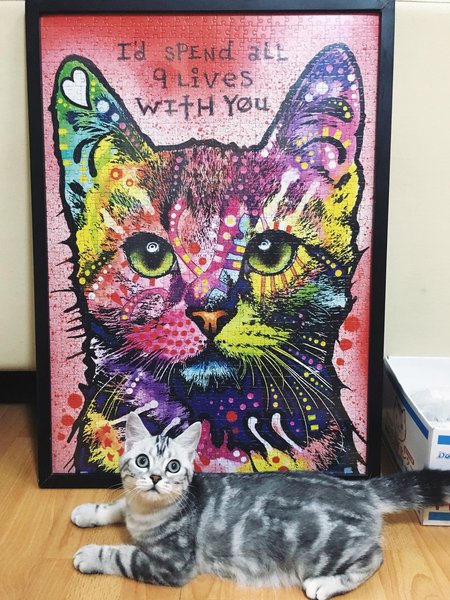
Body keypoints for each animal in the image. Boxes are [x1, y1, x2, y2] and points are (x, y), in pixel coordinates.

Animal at [71, 412, 450, 600]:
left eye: (174, 466)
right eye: (142, 460)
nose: (154, 478)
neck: (146, 514)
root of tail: (360, 488)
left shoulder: (171, 564)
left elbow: (121, 555)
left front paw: (88, 554)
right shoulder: (131, 505)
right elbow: (117, 504)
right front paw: (86, 511)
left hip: (325, 551)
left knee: (374, 558)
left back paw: (324, 585)